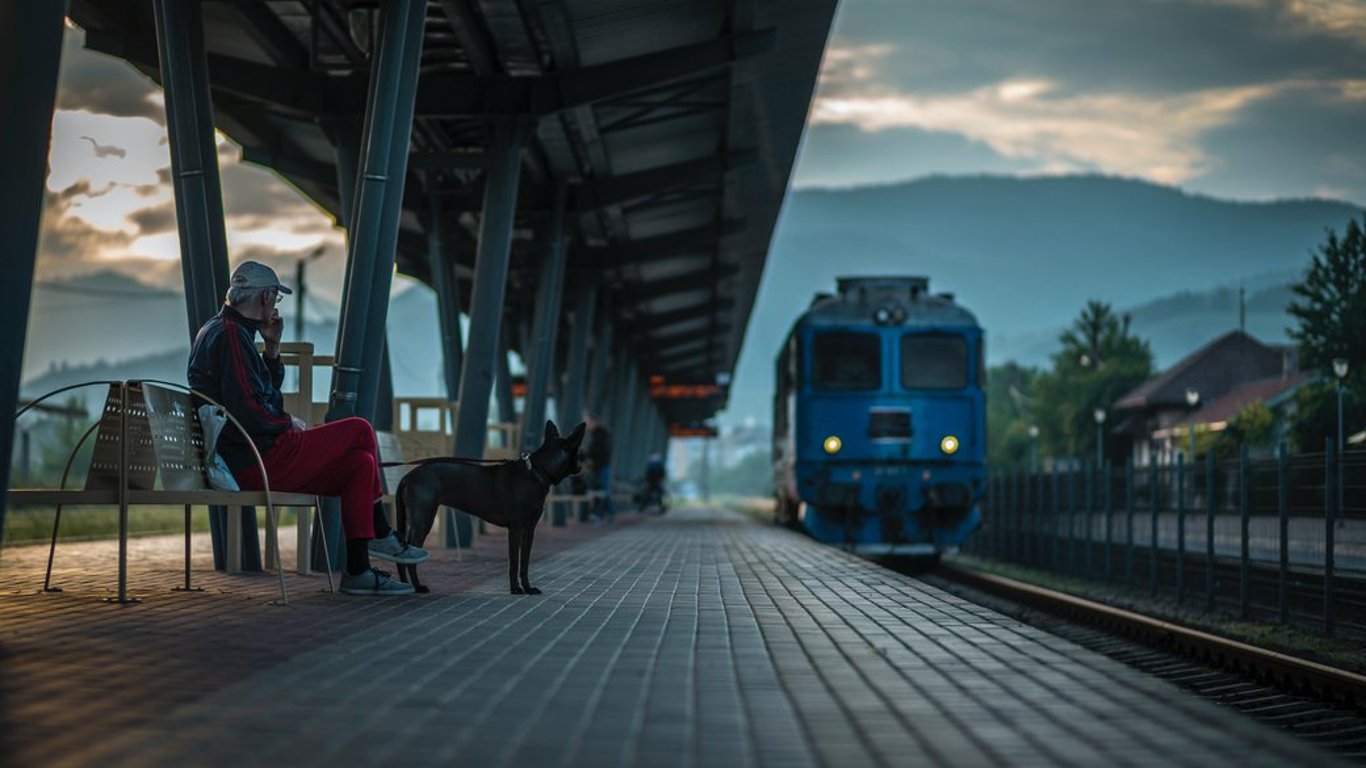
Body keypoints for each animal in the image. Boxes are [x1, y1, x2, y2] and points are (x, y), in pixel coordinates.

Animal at [396, 418, 587, 593]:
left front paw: (528, 587)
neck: (537, 471)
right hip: (423, 520)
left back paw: (406, 585)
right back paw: (418, 586)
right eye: (578, 452)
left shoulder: (529, 530)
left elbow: (524, 562)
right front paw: (515, 589)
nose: (581, 467)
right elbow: (514, 562)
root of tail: (408, 476)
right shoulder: (516, 528)